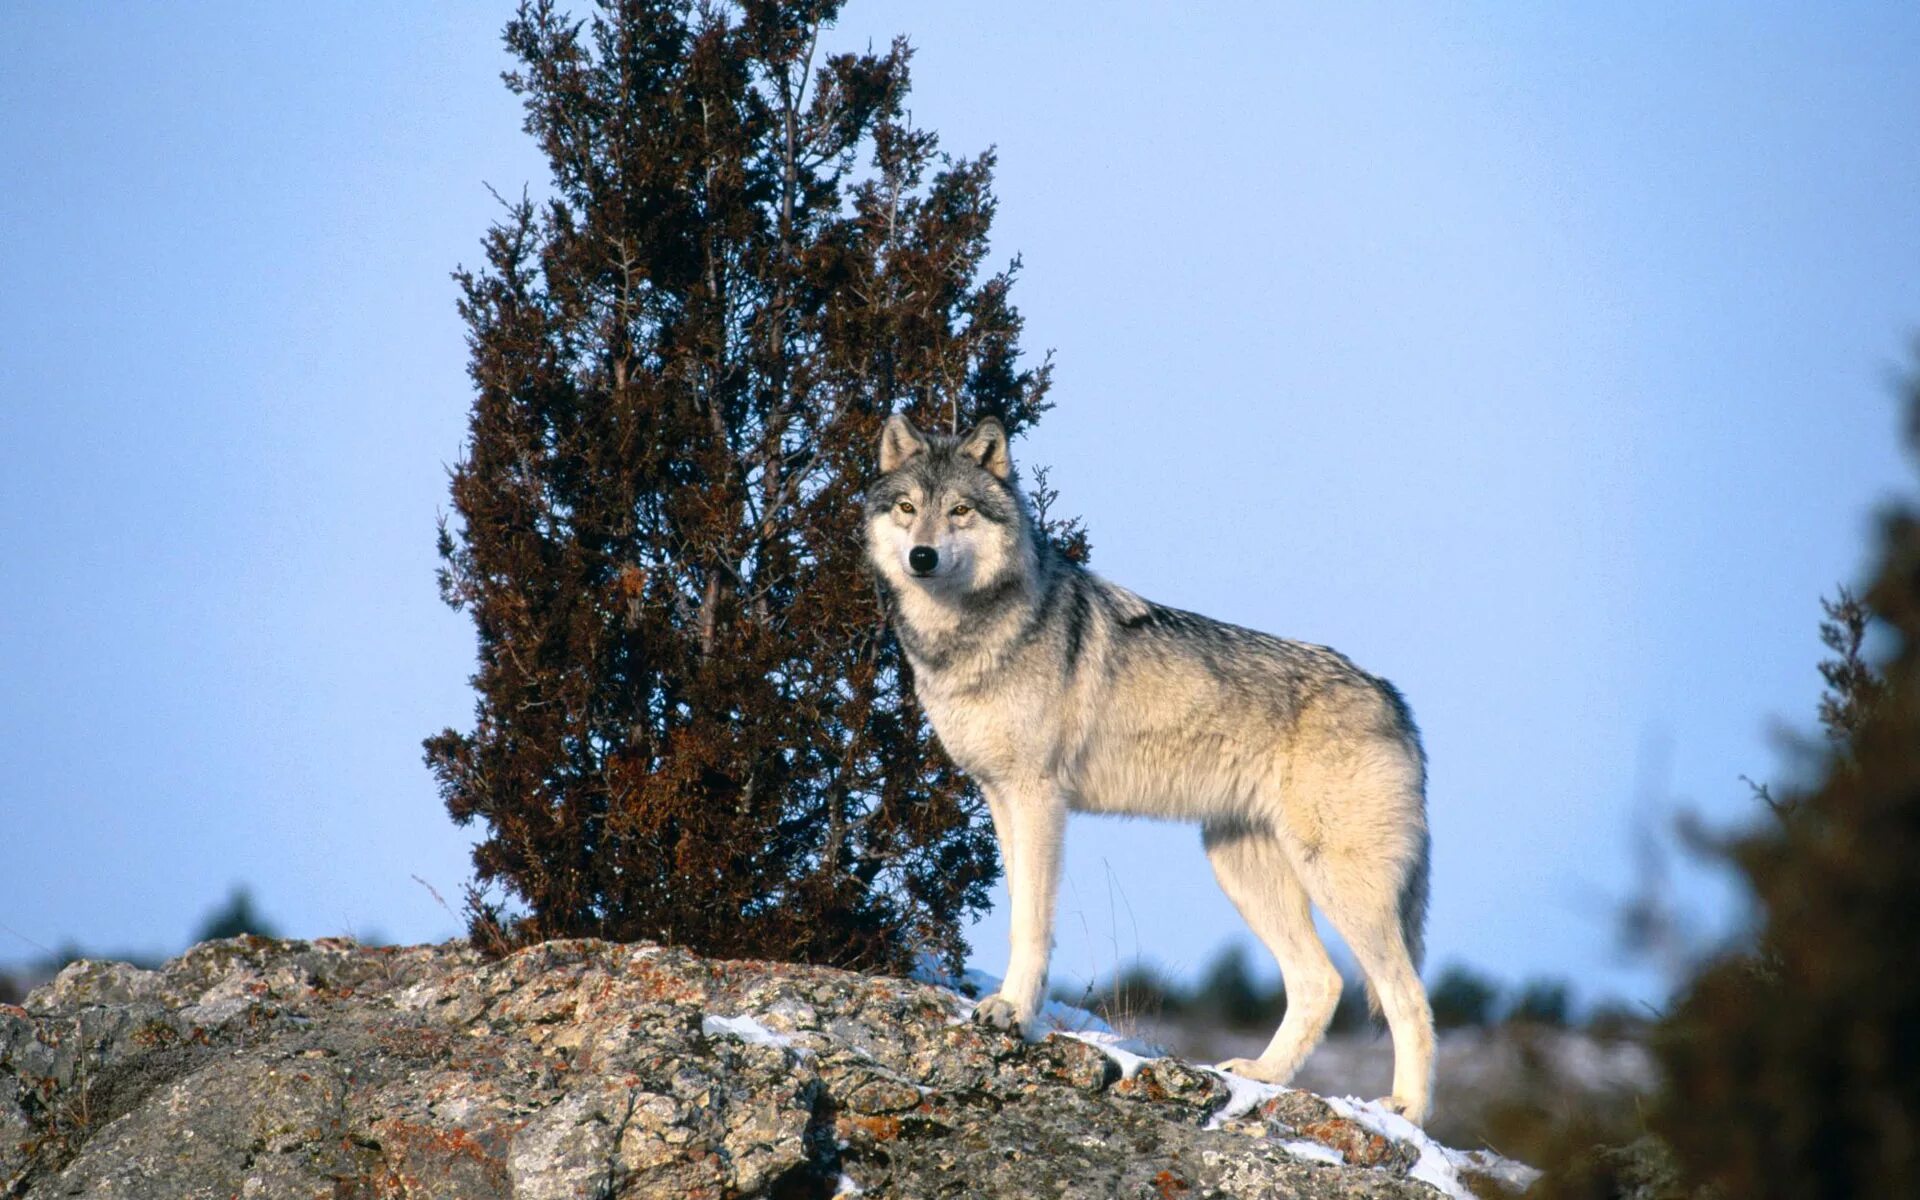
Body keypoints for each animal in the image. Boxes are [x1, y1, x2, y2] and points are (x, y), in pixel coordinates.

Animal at [864, 414, 1436, 1121]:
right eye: (908, 508)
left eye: (960, 511)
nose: (922, 557)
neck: (968, 636)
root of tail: (1394, 699)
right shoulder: (1000, 797)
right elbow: (1019, 913)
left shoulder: (1039, 798)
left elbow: (1032, 924)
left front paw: (1013, 1014)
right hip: (1240, 868)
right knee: (1320, 981)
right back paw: (1262, 1075)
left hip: (1339, 883)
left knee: (1409, 997)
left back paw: (1405, 1111)